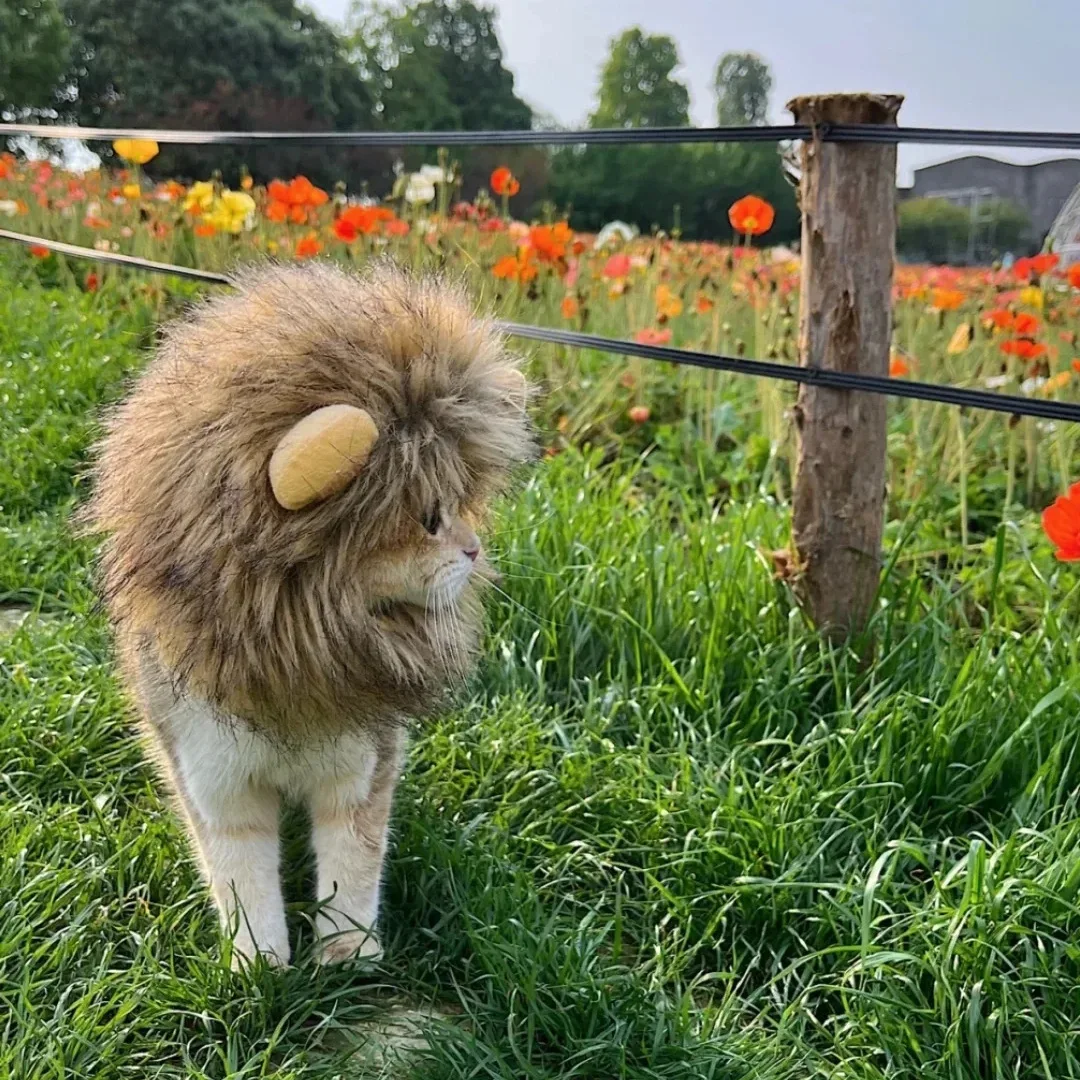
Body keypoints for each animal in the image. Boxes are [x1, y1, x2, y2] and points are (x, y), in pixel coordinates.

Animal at [84, 257, 535, 967]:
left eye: (459, 504)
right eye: (429, 518)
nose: (474, 549)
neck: (297, 661)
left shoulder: (358, 776)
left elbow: (351, 875)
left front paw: (349, 962)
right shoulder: (218, 787)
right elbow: (243, 886)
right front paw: (259, 969)